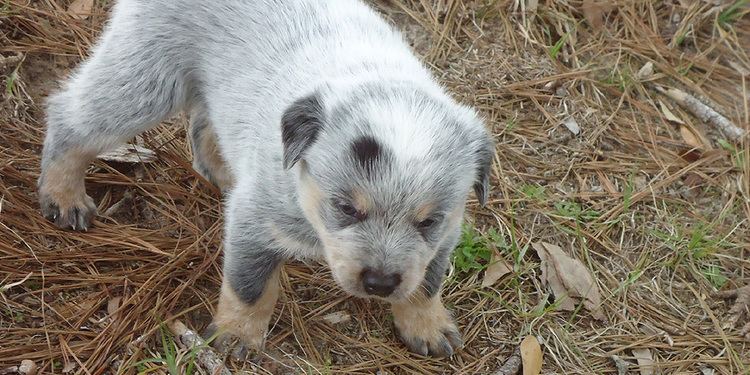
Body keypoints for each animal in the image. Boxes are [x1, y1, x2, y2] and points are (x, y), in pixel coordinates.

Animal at [42, 0, 500, 358]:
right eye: (345, 208)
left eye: (428, 221)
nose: (380, 283)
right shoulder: (256, 218)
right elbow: (250, 286)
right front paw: (236, 336)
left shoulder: (448, 233)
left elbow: (427, 284)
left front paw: (426, 326)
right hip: (146, 76)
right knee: (71, 115)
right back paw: (62, 196)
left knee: (203, 127)